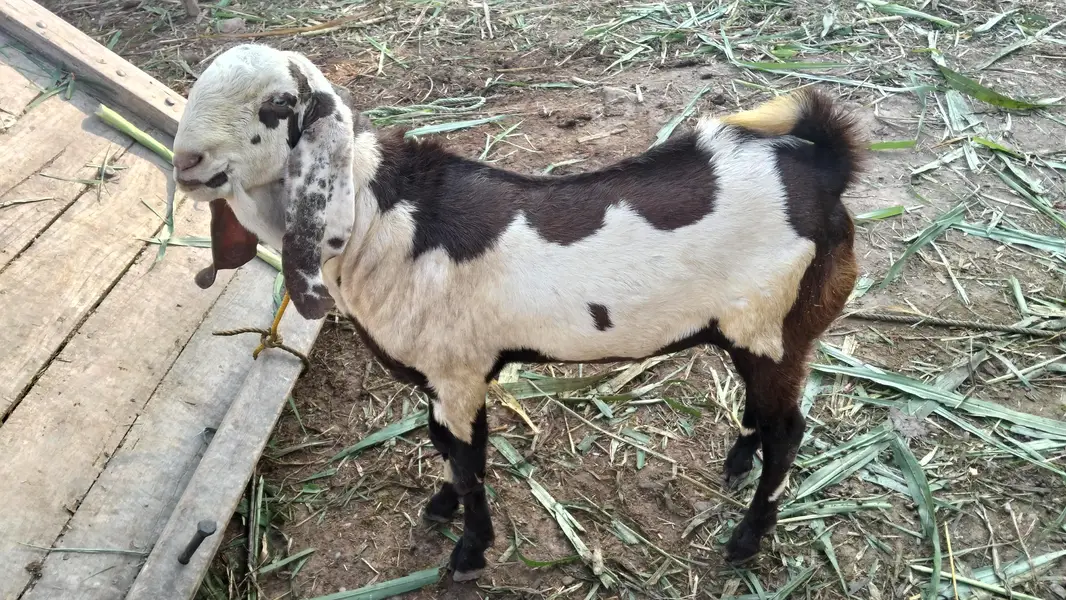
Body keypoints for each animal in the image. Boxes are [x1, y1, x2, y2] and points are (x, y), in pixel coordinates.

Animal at [172, 43, 863, 582]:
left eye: (278, 104)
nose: (186, 162)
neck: (378, 220)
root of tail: (823, 169)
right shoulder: (442, 380)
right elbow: (445, 449)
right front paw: (441, 508)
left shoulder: (458, 374)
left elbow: (469, 462)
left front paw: (469, 553)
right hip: (756, 335)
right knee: (761, 413)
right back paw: (736, 463)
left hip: (778, 327)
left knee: (789, 431)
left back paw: (746, 540)